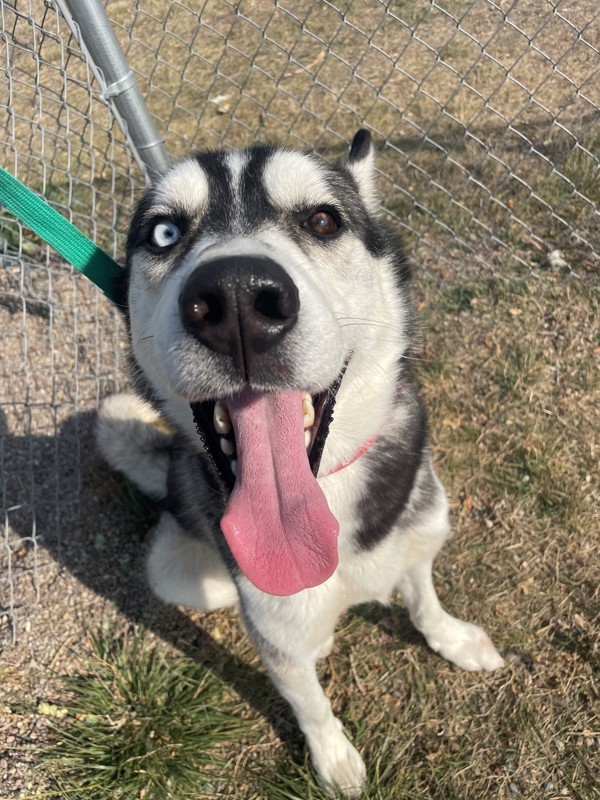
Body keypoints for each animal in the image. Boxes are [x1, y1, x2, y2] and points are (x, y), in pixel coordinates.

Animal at [97, 131, 502, 792]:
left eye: (322, 220)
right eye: (164, 232)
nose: (235, 297)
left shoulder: (420, 534)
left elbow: (424, 599)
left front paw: (454, 640)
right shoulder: (276, 635)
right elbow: (309, 702)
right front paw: (333, 758)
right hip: (191, 578)